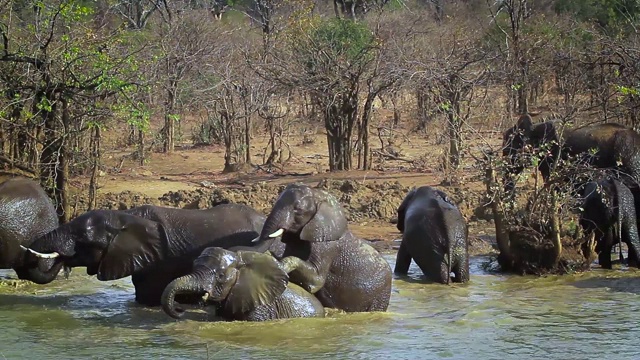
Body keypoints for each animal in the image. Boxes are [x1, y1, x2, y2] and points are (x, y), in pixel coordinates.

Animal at [250, 183, 390, 312]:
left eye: (297, 209)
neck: (319, 195)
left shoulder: (327, 245)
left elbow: (316, 280)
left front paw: (280, 266)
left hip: (380, 296)